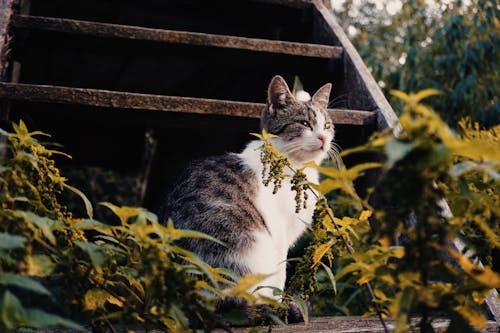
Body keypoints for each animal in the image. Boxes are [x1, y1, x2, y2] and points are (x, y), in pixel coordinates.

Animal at [158, 74, 334, 310]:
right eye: (304, 123)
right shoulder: (278, 231)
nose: (324, 138)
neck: (295, 166)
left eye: (327, 125)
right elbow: (280, 274)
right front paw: (279, 303)